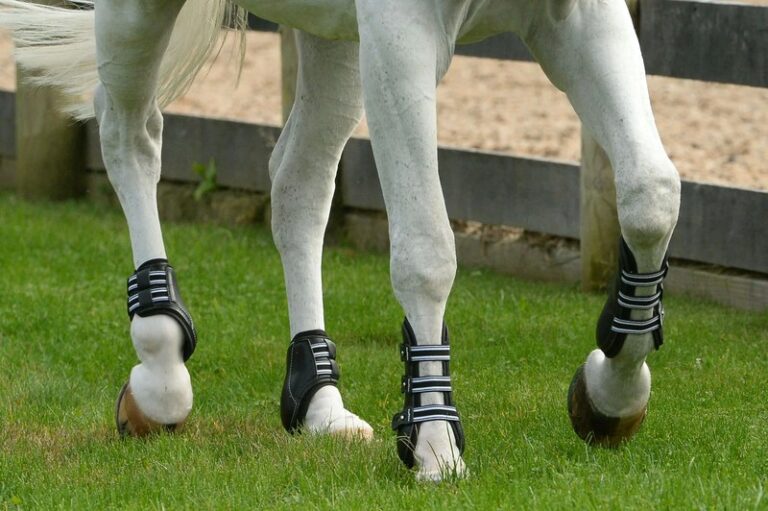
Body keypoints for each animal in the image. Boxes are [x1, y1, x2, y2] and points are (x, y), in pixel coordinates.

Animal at [0, 0, 681, 482]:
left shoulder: (583, 15)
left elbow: (653, 195)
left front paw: (611, 395)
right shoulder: (402, 35)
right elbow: (426, 252)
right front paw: (434, 444)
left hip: (340, 42)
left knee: (296, 184)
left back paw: (318, 402)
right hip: (143, 12)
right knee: (129, 134)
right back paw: (160, 370)